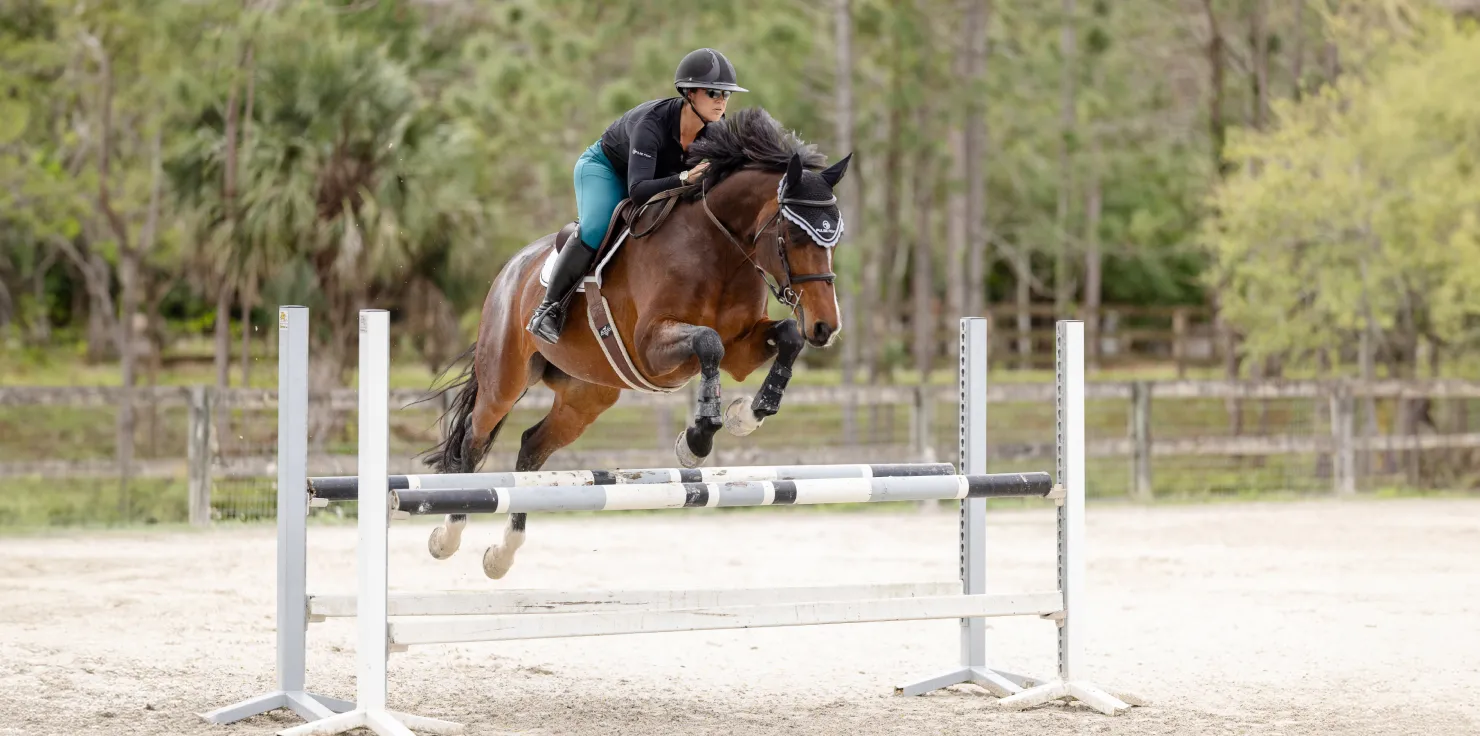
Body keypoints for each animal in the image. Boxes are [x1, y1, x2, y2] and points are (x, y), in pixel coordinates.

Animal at [421, 107, 852, 579]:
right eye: (795, 237)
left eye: (835, 238)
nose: (826, 327)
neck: (720, 249)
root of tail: (510, 270)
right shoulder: (652, 346)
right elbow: (709, 343)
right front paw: (697, 440)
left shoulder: (742, 347)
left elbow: (784, 338)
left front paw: (746, 416)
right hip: (505, 379)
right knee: (472, 439)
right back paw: (448, 536)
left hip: (587, 395)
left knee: (532, 449)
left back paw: (502, 554)